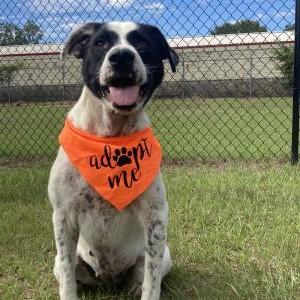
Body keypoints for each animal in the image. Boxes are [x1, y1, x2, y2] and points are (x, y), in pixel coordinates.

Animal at [47, 21, 178, 300]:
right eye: (100, 43)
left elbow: (151, 284)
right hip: (61, 261)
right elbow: (67, 281)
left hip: (163, 256)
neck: (111, 136)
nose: (122, 57)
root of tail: (110, 280)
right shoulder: (63, 217)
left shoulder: (155, 218)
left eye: (142, 43)